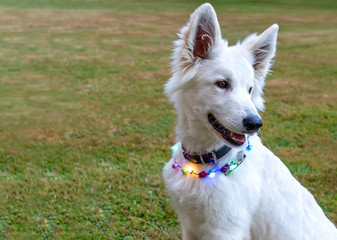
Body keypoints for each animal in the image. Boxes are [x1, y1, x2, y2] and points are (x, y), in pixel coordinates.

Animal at [162, 2, 334, 239]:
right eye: (222, 84)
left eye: (250, 89)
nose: (255, 124)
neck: (205, 162)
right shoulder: (190, 226)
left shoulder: (225, 230)